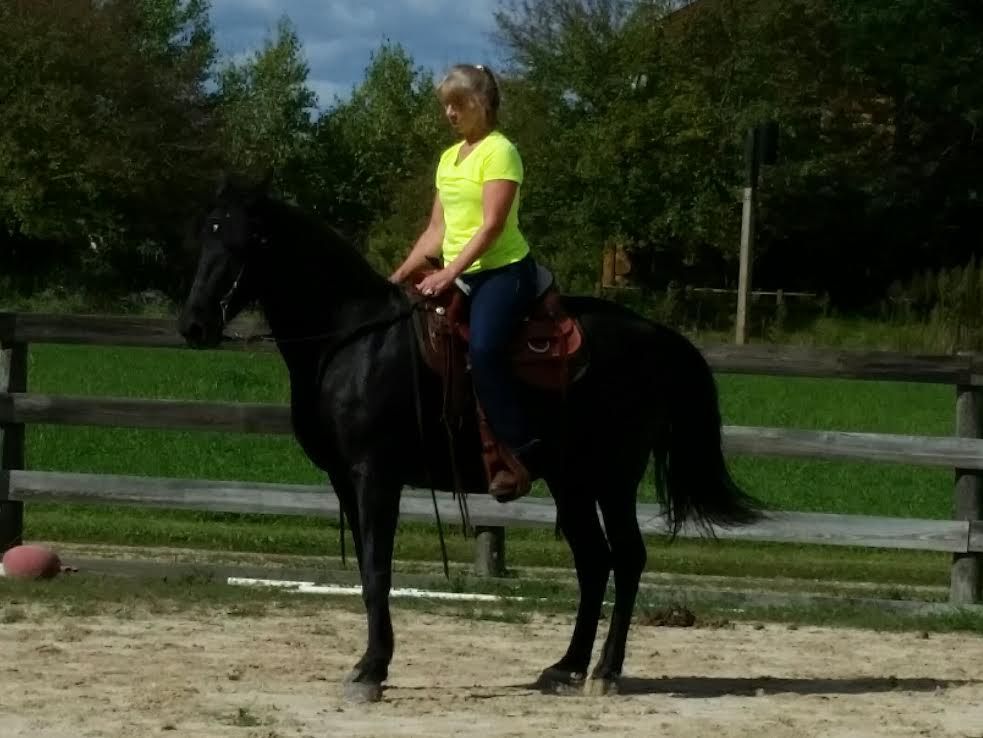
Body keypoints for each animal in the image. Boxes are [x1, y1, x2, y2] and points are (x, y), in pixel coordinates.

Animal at [177, 175, 762, 703]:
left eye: (250, 239)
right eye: (205, 234)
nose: (194, 325)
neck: (353, 340)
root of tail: (656, 336)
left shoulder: (375, 477)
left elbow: (377, 568)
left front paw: (372, 670)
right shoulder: (345, 480)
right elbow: (368, 569)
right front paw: (370, 664)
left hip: (613, 477)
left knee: (628, 557)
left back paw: (605, 672)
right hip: (570, 481)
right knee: (595, 561)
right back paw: (566, 667)